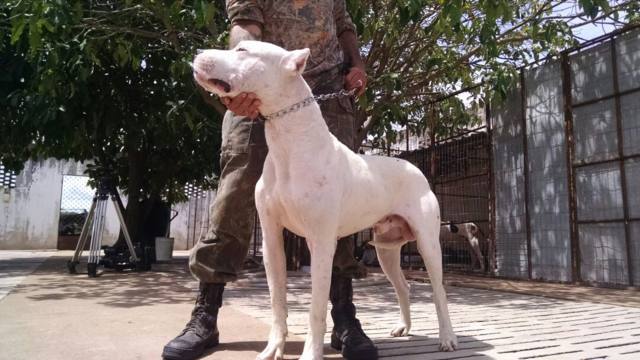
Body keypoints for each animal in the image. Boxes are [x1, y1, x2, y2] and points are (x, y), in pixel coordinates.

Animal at [192, 40, 458, 360]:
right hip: (386, 250)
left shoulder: (320, 241)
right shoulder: (271, 239)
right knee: (403, 286)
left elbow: (317, 308)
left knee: (439, 290)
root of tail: (414, 167)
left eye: (243, 50)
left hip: (428, 243)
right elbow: (277, 300)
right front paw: (273, 348)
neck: (289, 144)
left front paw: (310, 353)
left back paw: (447, 338)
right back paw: (403, 327)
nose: (197, 54)